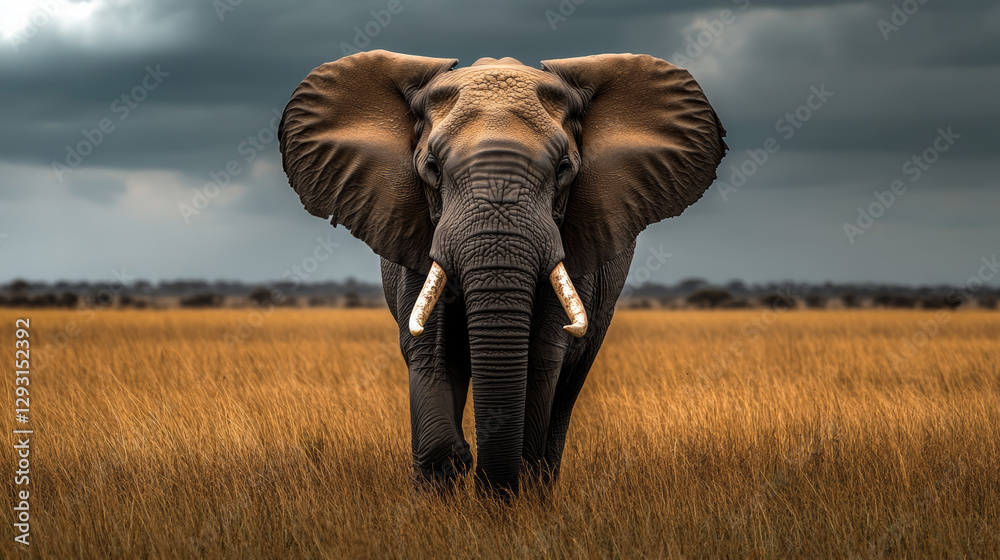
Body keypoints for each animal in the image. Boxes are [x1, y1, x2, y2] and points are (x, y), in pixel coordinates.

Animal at [278, 50, 727, 496]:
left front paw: (506, 497)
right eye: (432, 168)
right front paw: (450, 471)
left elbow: (543, 356)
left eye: (564, 168)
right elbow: (429, 350)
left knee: (569, 381)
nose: (484, 481)